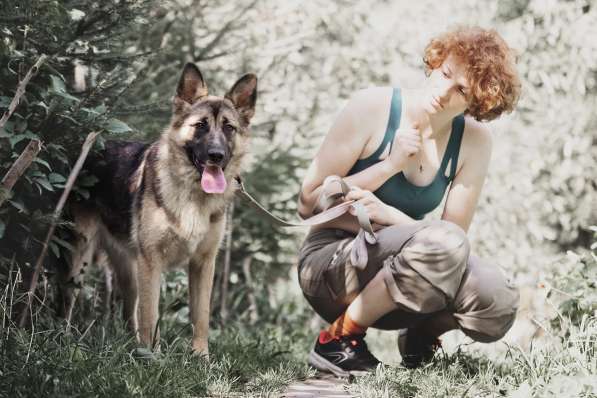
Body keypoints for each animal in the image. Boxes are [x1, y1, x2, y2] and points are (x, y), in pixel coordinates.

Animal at [62, 63, 256, 356]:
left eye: (229, 128)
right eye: (200, 126)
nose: (216, 155)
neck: (193, 196)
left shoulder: (203, 264)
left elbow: (201, 315)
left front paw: (200, 357)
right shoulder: (151, 262)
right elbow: (150, 314)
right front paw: (152, 356)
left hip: (129, 272)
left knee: (129, 311)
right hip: (81, 257)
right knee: (66, 301)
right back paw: (62, 336)